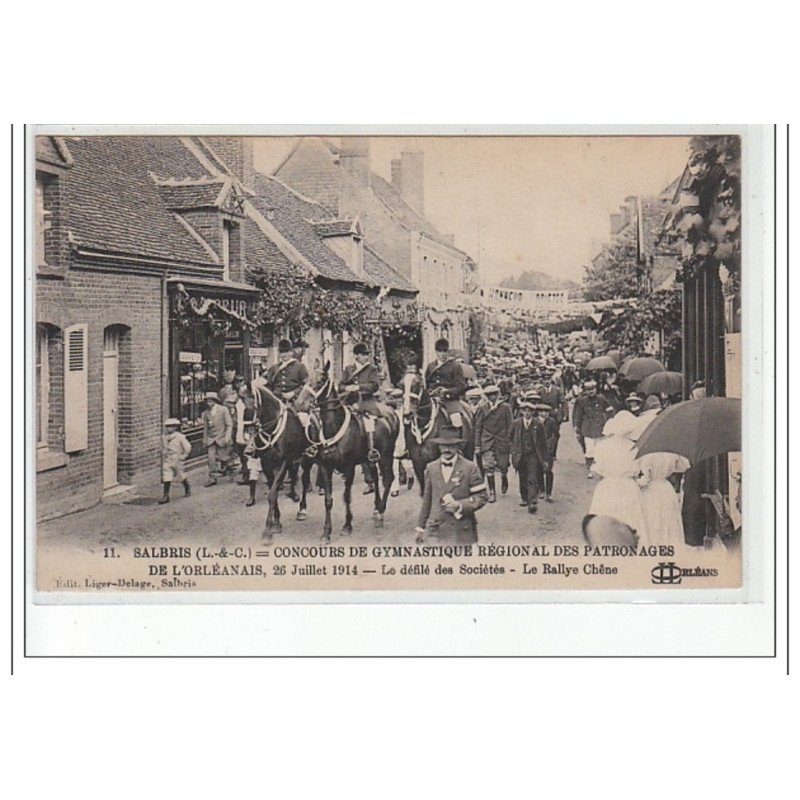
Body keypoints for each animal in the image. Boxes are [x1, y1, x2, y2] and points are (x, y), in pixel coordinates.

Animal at [252, 380, 314, 536]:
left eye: (252, 405)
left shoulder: (282, 463)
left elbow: (272, 493)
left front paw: (269, 526)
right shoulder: (266, 465)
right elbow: (273, 491)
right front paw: (276, 521)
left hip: (307, 458)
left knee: (305, 479)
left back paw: (302, 508)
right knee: (295, 473)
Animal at [310, 364, 400, 540]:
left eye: (321, 379)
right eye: (307, 378)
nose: (304, 400)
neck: (334, 427)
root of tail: (391, 412)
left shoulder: (349, 467)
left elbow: (346, 496)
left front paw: (347, 526)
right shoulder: (325, 467)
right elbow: (328, 500)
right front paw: (326, 532)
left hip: (386, 455)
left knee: (388, 479)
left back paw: (380, 513)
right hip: (371, 458)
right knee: (376, 478)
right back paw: (376, 508)